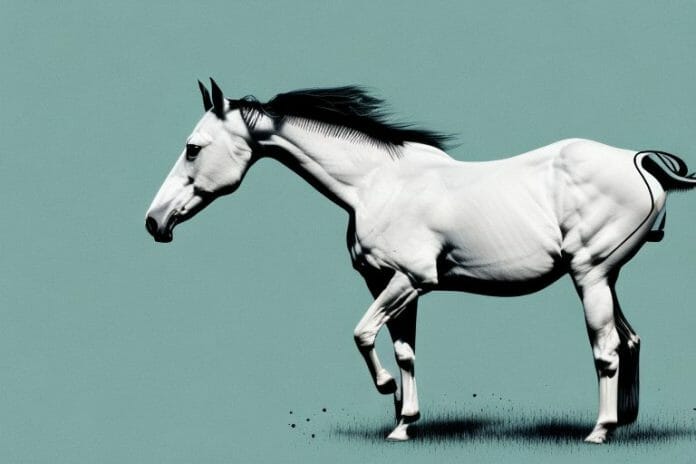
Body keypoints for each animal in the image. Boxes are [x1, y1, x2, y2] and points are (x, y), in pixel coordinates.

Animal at [145, 79, 695, 443]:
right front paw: (403, 423)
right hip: (608, 278)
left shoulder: (408, 280)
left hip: (591, 275)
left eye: (193, 149)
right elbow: (404, 350)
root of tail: (637, 161)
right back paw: (624, 422)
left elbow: (362, 335)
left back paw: (599, 431)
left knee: (607, 350)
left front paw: (387, 390)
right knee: (629, 340)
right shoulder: (385, 284)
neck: (374, 184)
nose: (154, 222)